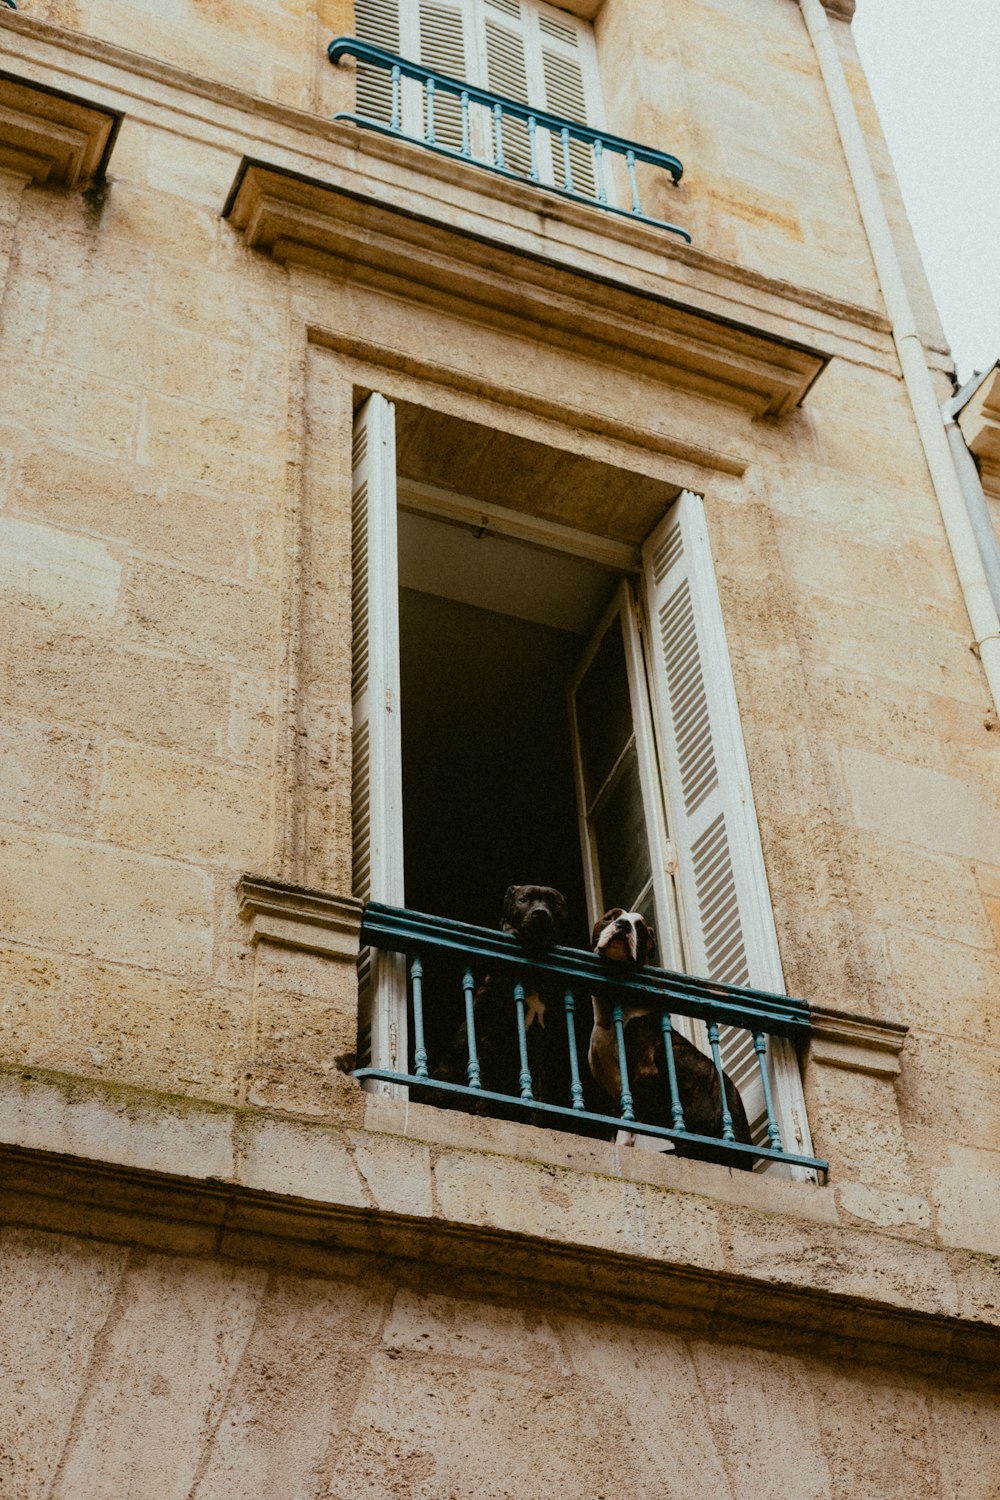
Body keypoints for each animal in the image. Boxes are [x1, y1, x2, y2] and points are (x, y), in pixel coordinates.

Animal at [431, 882, 569, 1110]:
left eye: (554, 903)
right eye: (523, 900)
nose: (540, 913)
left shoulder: (542, 1051)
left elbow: (539, 1100)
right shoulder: (489, 1040)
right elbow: (483, 1093)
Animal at [587, 900, 749, 1158]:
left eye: (640, 929)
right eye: (610, 917)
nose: (623, 925)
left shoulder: (643, 1075)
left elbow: (627, 1126)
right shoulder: (613, 1094)